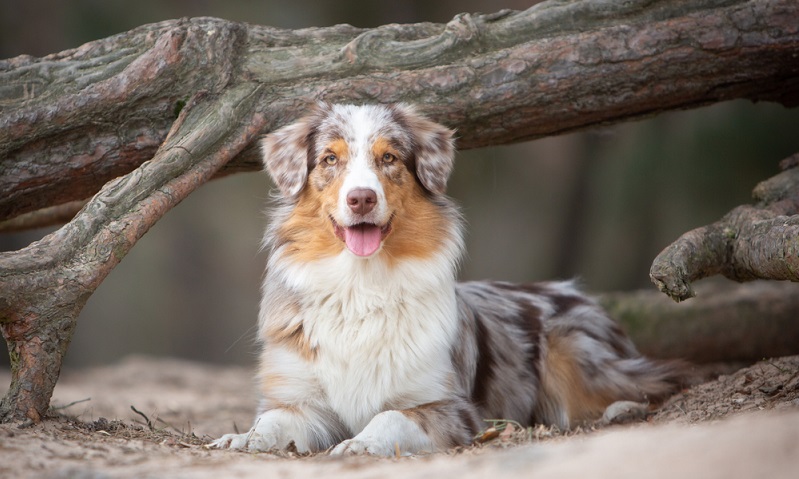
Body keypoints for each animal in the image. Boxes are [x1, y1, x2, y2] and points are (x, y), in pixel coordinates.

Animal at [211, 103, 680, 456]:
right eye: (330, 158)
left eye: (388, 158)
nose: (361, 198)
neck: (361, 286)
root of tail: (574, 293)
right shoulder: (301, 398)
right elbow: (273, 420)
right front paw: (243, 436)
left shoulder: (450, 407)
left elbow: (390, 416)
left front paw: (361, 442)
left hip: (573, 350)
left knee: (651, 383)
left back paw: (622, 409)